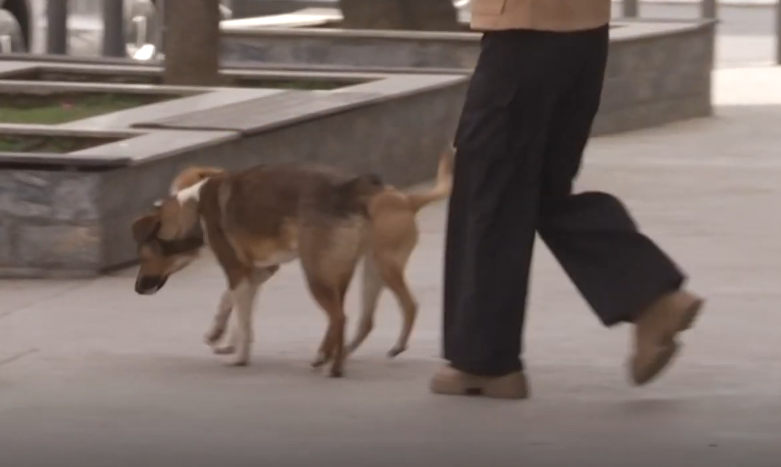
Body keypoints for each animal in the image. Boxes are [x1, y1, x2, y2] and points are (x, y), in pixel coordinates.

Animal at [132, 152, 454, 378]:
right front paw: (222, 337)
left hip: (328, 271)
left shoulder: (238, 270)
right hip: (361, 270)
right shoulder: (257, 271)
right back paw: (334, 354)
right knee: (358, 319)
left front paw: (239, 356)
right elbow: (234, 305)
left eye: (144, 257)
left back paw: (336, 366)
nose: (137, 289)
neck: (193, 207)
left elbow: (242, 316)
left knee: (346, 316)